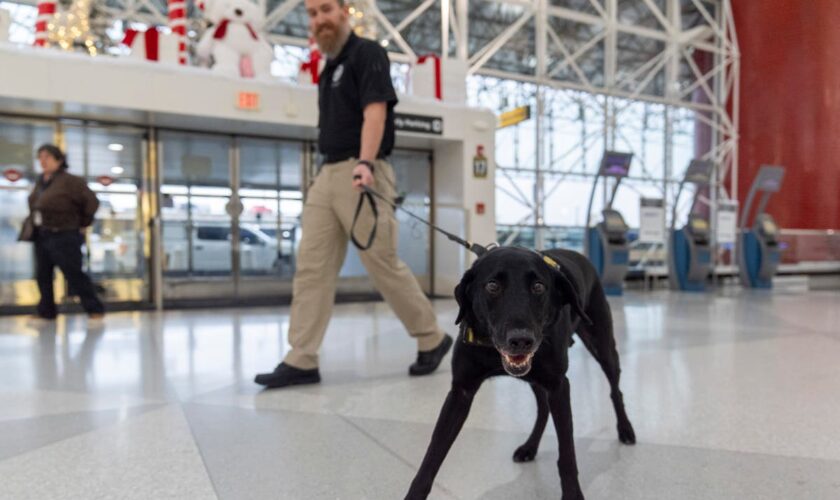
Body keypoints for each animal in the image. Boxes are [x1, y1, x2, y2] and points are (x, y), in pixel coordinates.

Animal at [404, 247, 632, 500]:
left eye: (539, 287)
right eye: (492, 286)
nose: (522, 340)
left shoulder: (559, 386)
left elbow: (567, 454)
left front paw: (572, 494)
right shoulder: (460, 392)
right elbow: (432, 455)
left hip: (602, 345)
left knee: (615, 390)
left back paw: (625, 429)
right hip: (535, 378)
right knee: (543, 409)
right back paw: (530, 447)